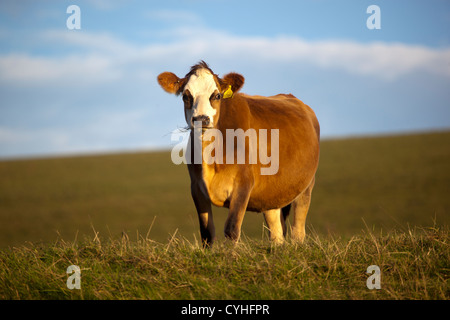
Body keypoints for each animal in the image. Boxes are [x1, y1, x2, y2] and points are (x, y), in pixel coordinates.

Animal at [158, 61, 320, 246]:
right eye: (186, 96)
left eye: (217, 96)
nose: (201, 119)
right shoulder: (196, 188)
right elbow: (207, 233)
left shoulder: (243, 184)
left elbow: (231, 229)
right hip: (272, 194)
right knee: (276, 230)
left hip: (306, 186)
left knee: (298, 230)